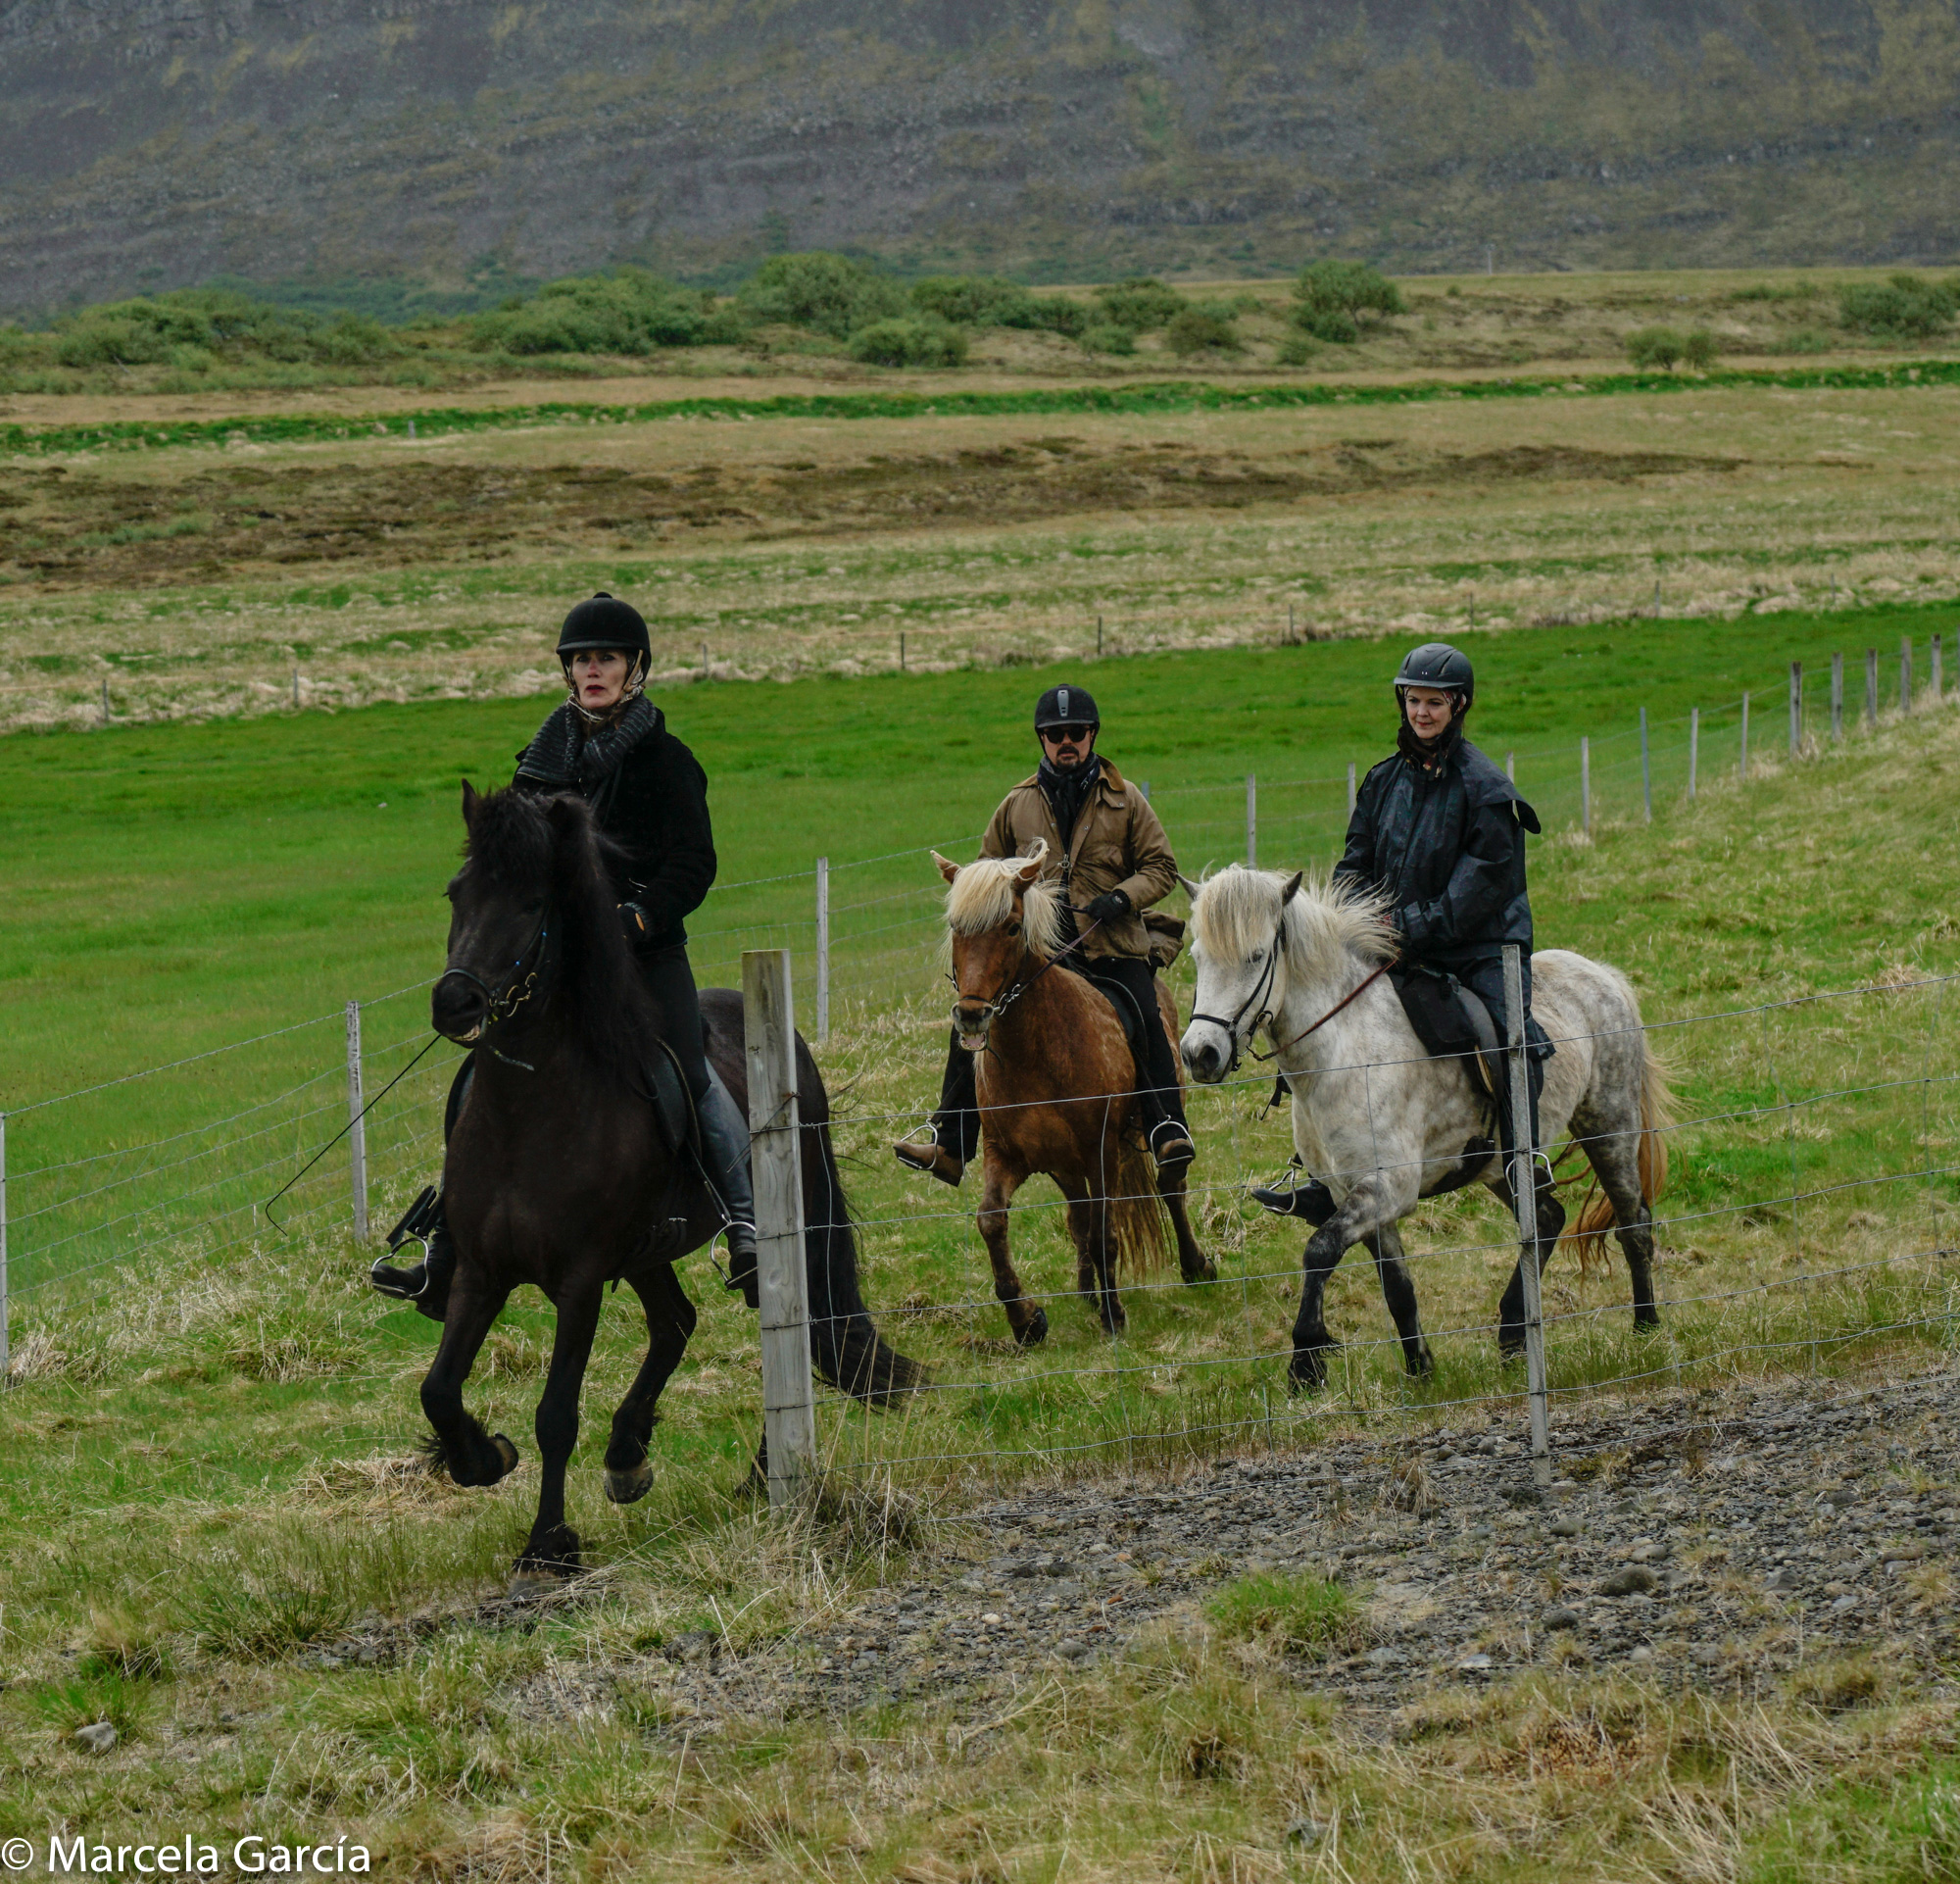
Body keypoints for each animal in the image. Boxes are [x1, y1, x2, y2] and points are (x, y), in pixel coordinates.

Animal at [423, 780, 925, 1584]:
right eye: (457, 893)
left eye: (532, 903)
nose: (455, 1003)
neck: (530, 1114)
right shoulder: (480, 1270)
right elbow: (438, 1390)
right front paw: (482, 1457)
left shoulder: (580, 1282)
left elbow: (555, 1414)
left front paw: (548, 1544)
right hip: (646, 1252)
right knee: (676, 1323)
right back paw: (628, 1453)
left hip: (772, 1233)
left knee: (795, 1328)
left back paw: (764, 1473)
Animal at [933, 839, 1207, 1341]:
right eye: (956, 927)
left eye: (1011, 927)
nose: (972, 1016)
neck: (1036, 1052)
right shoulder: (1008, 1155)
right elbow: (992, 1220)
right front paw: (1025, 1319)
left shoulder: (1101, 1151)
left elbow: (1104, 1232)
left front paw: (1114, 1316)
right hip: (1065, 1165)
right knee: (1078, 1216)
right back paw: (1086, 1289)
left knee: (1170, 1186)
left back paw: (1194, 1265)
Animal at [1176, 867, 1670, 1380]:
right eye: (1197, 958)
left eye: (1255, 957)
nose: (1200, 1054)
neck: (1345, 1052)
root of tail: (1603, 975)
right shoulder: (1354, 1193)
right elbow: (1396, 1287)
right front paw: (1420, 1371)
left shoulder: (1387, 1188)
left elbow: (1319, 1251)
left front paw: (1306, 1362)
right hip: (1498, 1165)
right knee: (1548, 1218)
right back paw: (1514, 1334)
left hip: (1609, 1126)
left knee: (1633, 1223)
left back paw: (1645, 1329)